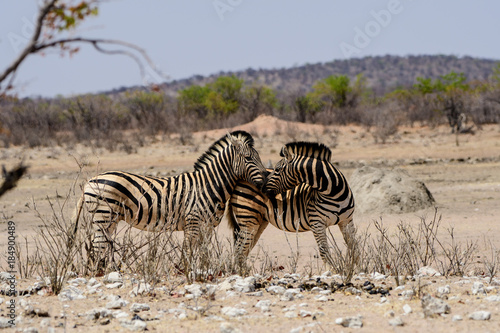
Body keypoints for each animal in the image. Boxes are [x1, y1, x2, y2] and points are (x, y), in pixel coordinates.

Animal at [72, 130, 268, 268]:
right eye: (248, 158)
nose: (266, 181)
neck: (209, 184)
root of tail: (89, 181)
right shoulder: (193, 224)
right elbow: (187, 254)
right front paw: (187, 274)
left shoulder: (207, 228)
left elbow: (203, 253)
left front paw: (204, 271)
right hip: (103, 217)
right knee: (96, 250)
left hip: (109, 221)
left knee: (98, 249)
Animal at [228, 141, 356, 268]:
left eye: (277, 169)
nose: (261, 187)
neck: (333, 193)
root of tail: (240, 179)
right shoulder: (317, 224)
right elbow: (324, 251)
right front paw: (332, 271)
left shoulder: (347, 221)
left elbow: (354, 247)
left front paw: (355, 268)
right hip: (248, 220)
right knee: (239, 251)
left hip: (258, 223)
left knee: (244, 251)